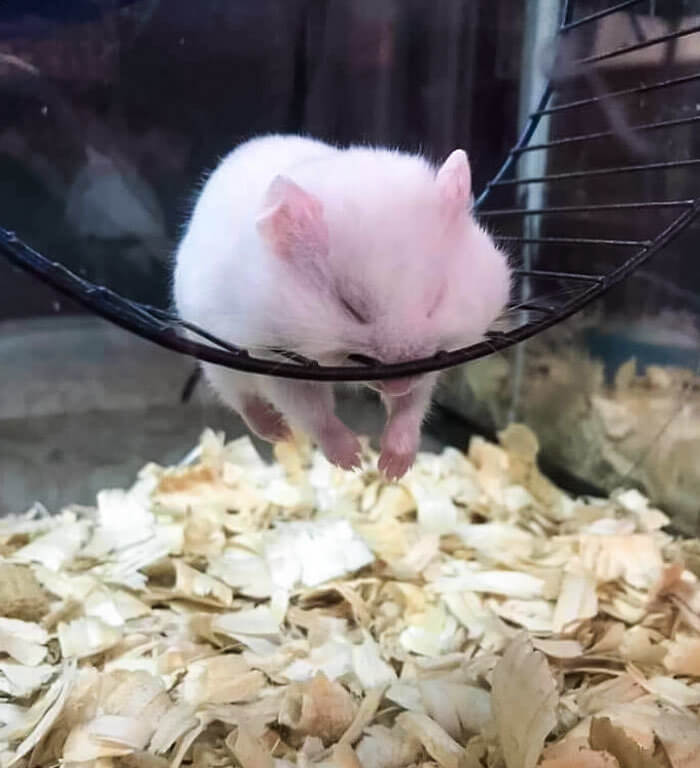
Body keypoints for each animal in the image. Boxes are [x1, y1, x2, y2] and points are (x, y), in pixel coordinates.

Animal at [173, 134, 511, 480]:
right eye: (350, 306)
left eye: (437, 296)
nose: (398, 385)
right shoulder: (273, 359)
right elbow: (314, 414)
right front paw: (354, 461)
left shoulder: (428, 365)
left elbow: (411, 407)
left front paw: (392, 468)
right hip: (218, 362)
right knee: (243, 401)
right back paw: (280, 433)